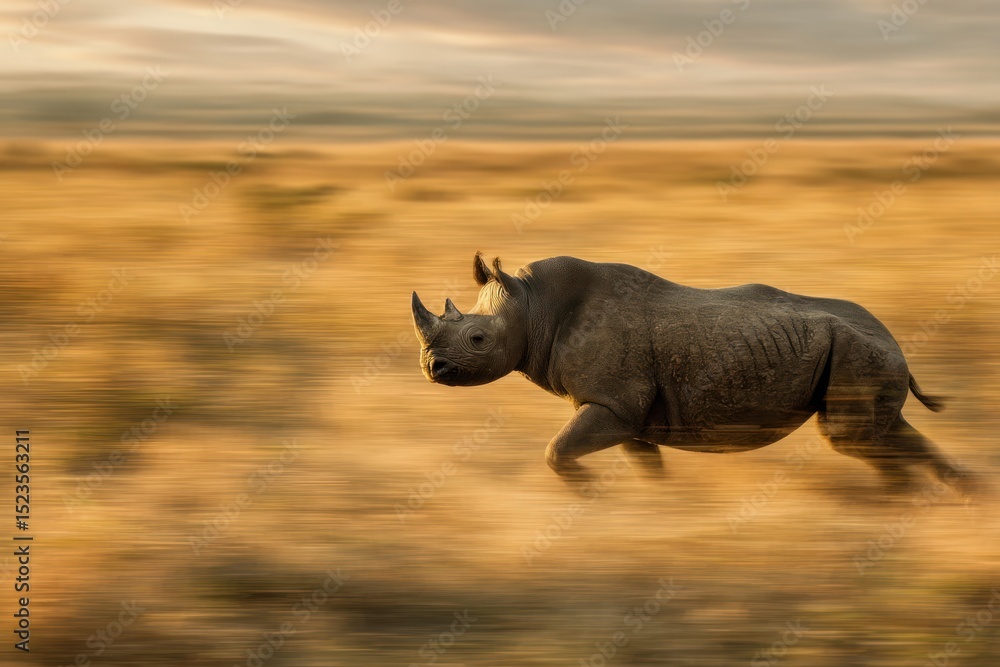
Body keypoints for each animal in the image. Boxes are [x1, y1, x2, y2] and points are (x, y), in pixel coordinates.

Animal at [411, 253, 971, 494]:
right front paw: (659, 508)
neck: (533, 306)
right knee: (884, 434)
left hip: (858, 351)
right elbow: (646, 465)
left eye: (478, 340)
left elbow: (557, 451)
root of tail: (896, 340)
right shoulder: (624, 412)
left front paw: (589, 494)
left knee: (854, 438)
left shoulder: (613, 404)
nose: (434, 369)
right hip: (863, 351)